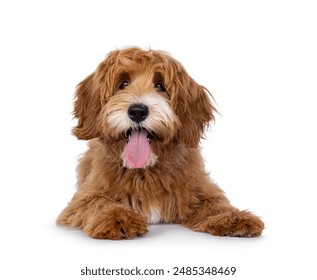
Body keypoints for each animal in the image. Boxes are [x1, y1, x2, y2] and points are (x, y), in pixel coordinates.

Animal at [55, 47, 262, 240]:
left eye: (160, 85)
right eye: (123, 83)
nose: (138, 111)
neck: (146, 170)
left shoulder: (200, 189)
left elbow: (216, 204)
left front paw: (236, 218)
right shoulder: (82, 199)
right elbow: (98, 203)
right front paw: (118, 218)